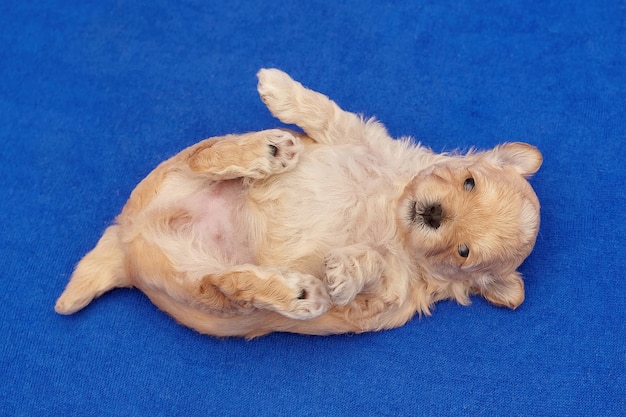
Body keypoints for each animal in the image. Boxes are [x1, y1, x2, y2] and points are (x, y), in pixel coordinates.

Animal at [56, 66, 540, 336]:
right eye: (469, 182)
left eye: (464, 251)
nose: (434, 213)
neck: (392, 207)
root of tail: (127, 240)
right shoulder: (356, 135)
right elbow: (324, 110)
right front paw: (279, 86)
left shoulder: (392, 292)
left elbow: (372, 264)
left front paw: (344, 270)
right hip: (177, 173)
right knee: (204, 158)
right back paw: (265, 151)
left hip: (196, 291)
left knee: (223, 285)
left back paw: (298, 293)